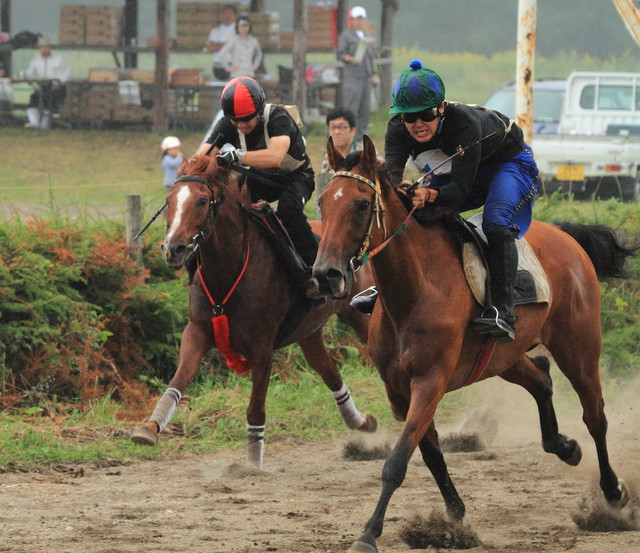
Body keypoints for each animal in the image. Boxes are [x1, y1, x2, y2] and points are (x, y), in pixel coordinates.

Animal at [132, 154, 378, 466]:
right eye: (170, 199)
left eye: (202, 201)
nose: (172, 249)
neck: (229, 268)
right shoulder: (197, 332)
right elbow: (179, 380)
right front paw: (150, 427)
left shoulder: (262, 350)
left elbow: (256, 408)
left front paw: (252, 463)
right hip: (308, 332)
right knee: (331, 373)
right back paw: (362, 423)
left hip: (362, 316)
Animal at [312, 136, 632, 548]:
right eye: (322, 202)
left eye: (362, 204)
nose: (325, 274)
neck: (416, 289)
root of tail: (565, 236)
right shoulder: (399, 390)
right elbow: (429, 454)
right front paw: (453, 517)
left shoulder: (429, 382)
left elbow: (397, 461)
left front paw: (369, 534)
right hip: (504, 357)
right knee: (541, 377)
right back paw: (564, 446)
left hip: (578, 346)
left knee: (594, 416)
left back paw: (612, 493)